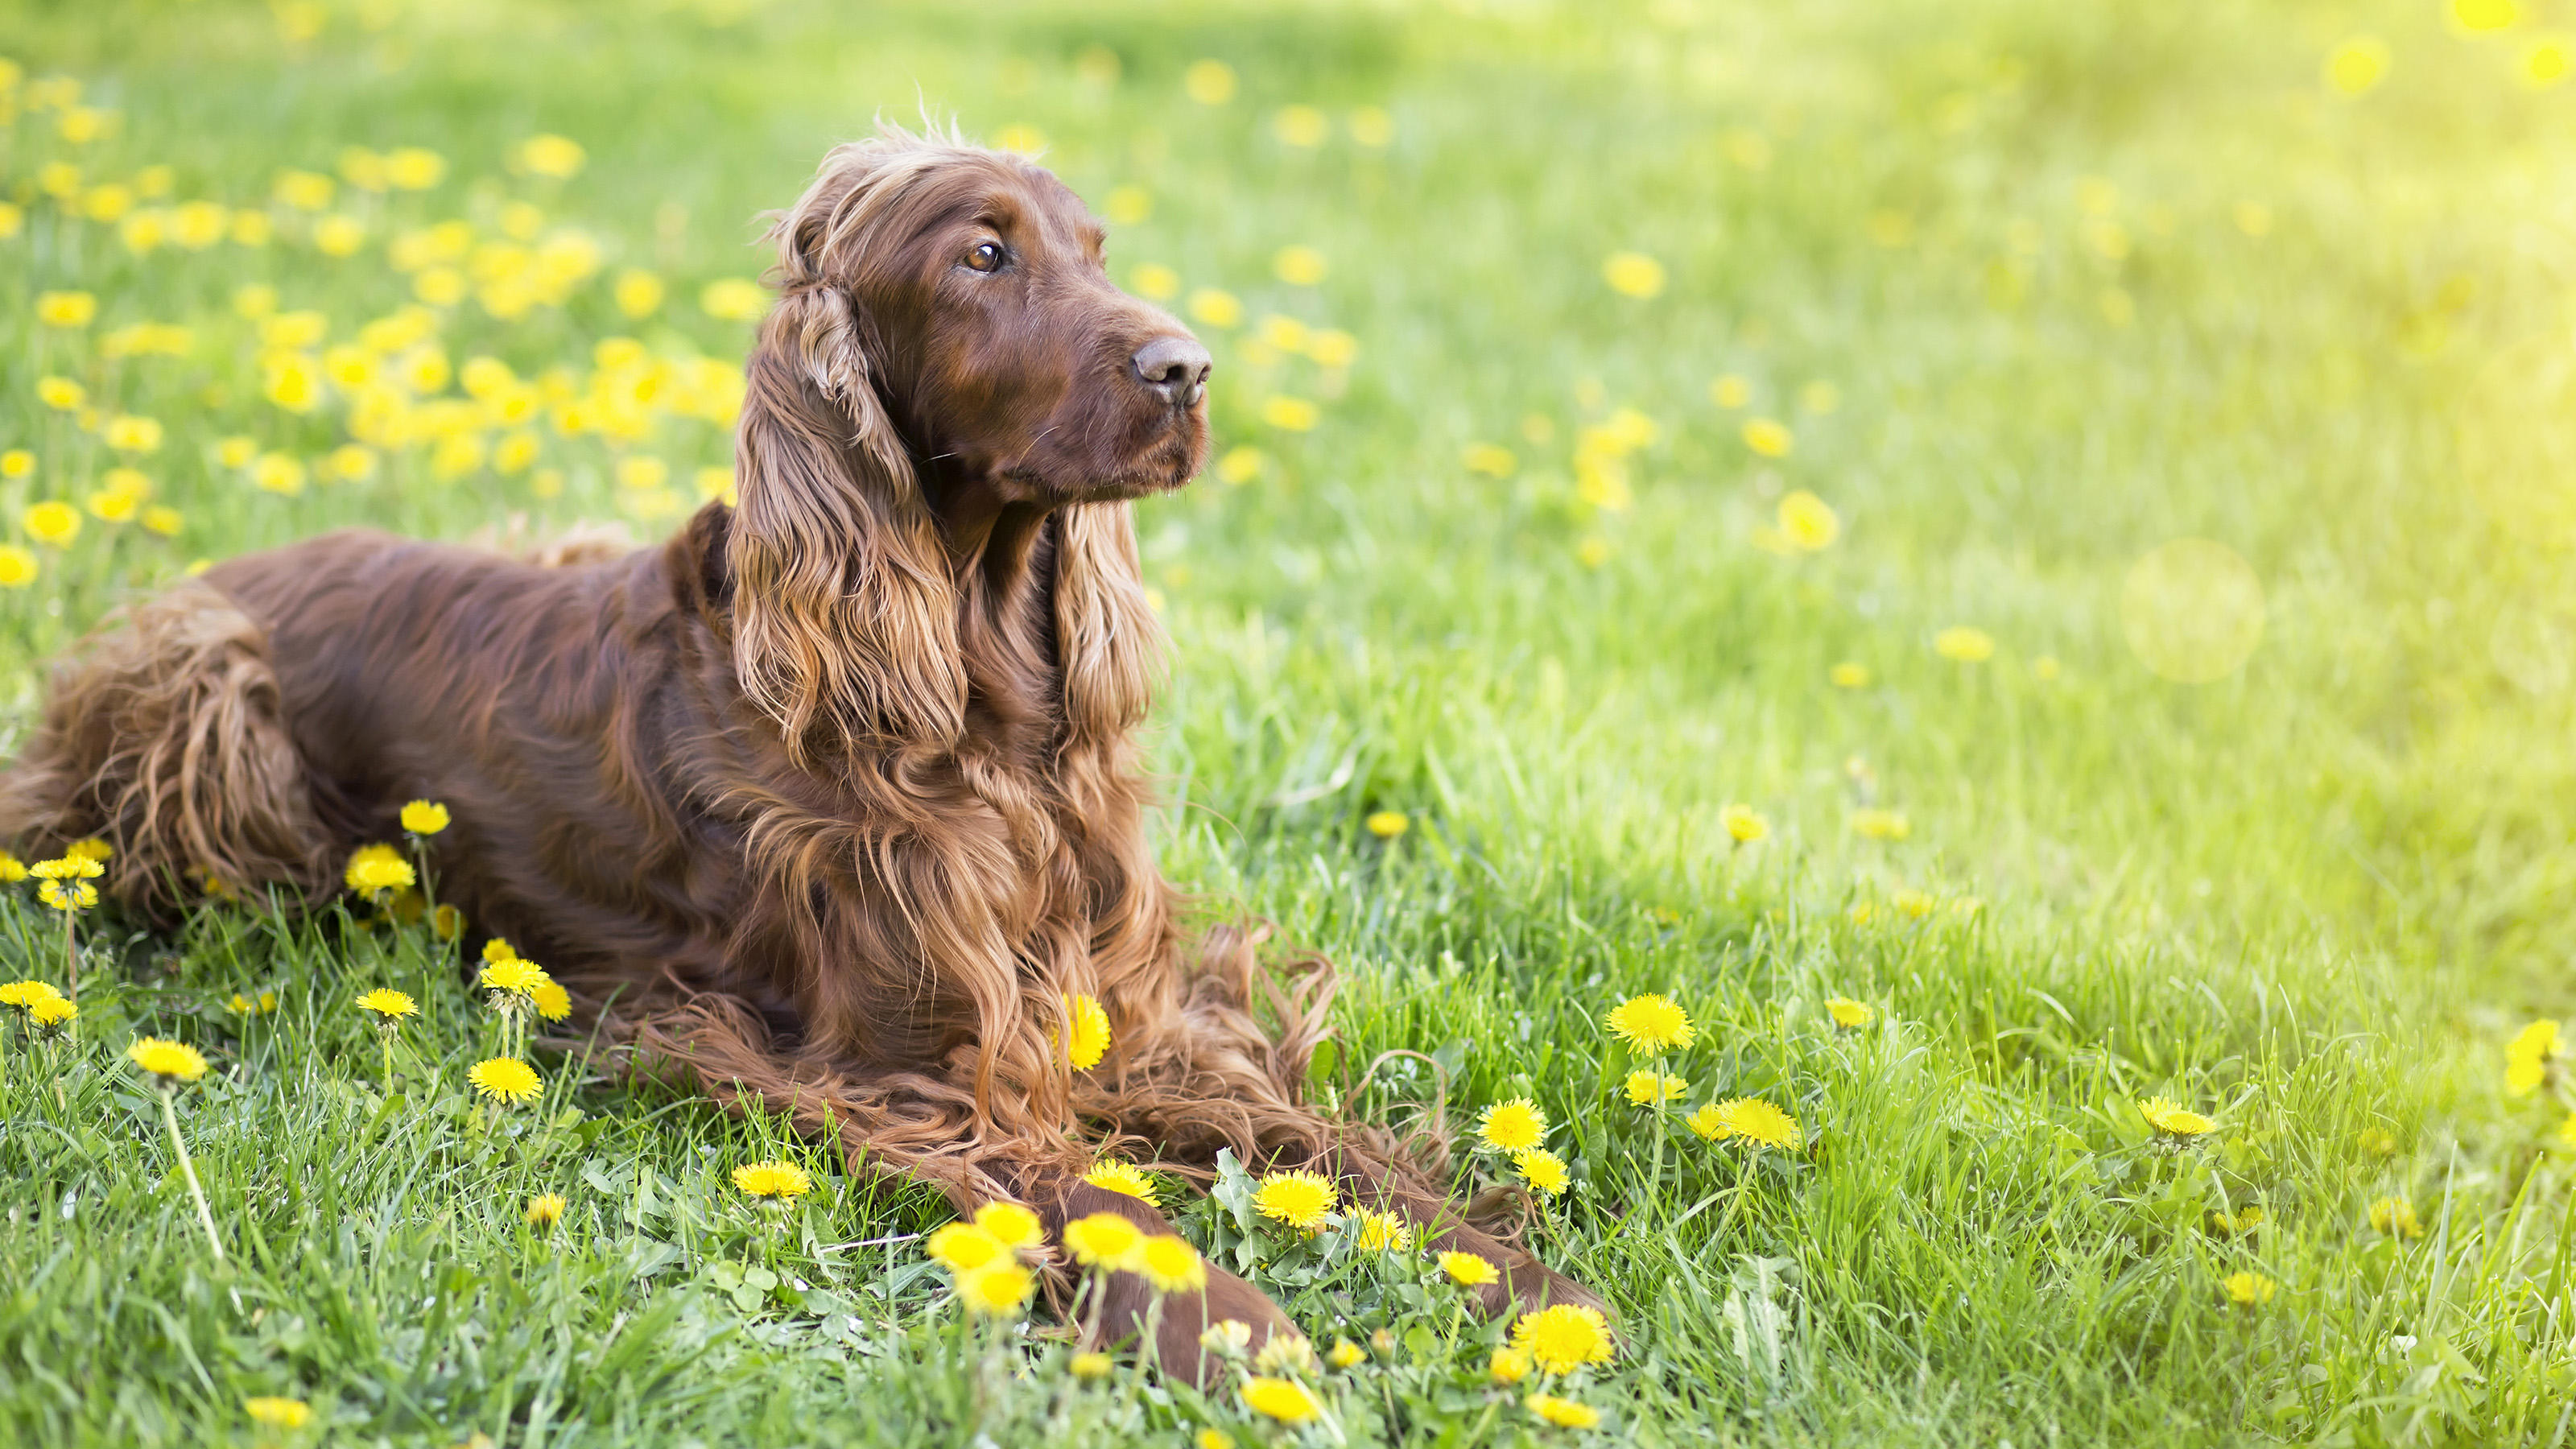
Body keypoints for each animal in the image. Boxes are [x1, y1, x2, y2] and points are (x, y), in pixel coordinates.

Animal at [0, 129, 1597, 1371]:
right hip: (210, 704)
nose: (1187, 368)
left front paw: (1528, 1286)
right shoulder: (902, 1066)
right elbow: (1102, 1199)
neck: (980, 719)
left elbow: (1323, 1144)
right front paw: (1238, 1330)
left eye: (1092, 246)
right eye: (983, 256)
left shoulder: (1128, 1009)